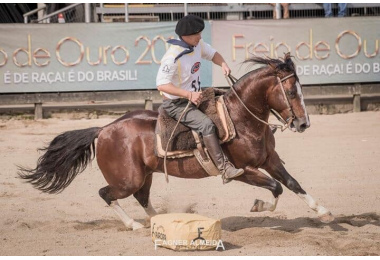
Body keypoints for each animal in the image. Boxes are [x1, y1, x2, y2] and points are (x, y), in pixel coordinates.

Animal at [17, 53, 334, 231]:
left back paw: (159, 220)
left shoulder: (270, 160)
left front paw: (323, 212)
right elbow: (275, 187)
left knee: (142, 198)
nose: (303, 123)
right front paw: (258, 206)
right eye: (291, 91)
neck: (241, 118)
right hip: (127, 179)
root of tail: (104, 129)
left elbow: (291, 183)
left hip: (144, 176)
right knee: (106, 194)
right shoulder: (243, 171)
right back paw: (133, 224)